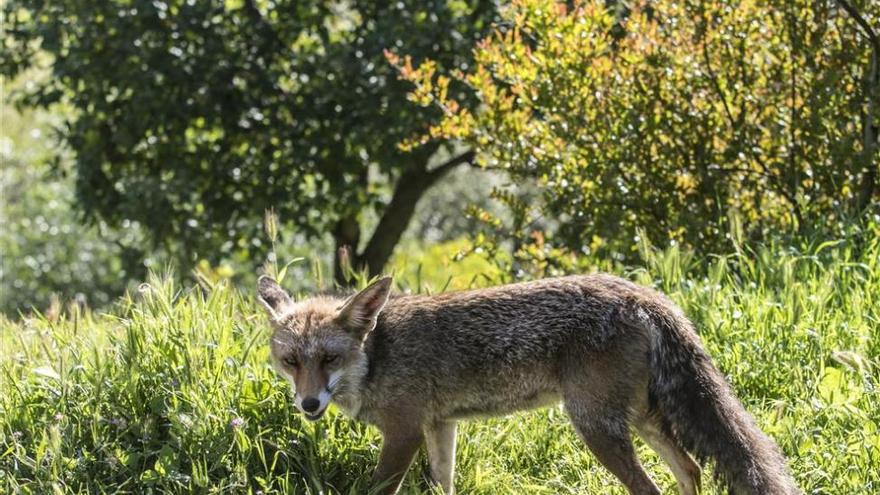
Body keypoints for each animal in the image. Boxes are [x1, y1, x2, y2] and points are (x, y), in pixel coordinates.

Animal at [258, 276, 800, 495]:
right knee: (690, 470)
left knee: (651, 487)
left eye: (329, 359)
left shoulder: (404, 431)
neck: (377, 356)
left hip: (596, 427)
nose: (308, 404)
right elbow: (445, 485)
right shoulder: (440, 427)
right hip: (642, 420)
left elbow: (380, 488)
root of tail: (643, 294)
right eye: (291, 362)